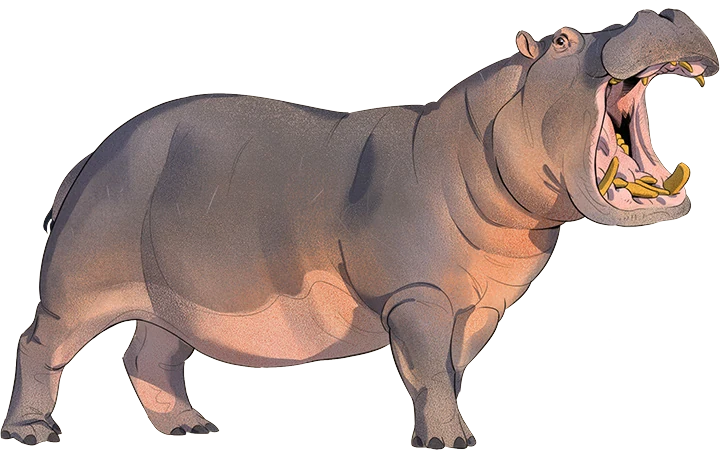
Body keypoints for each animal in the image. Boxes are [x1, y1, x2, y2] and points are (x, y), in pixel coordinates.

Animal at [1, 8, 717, 448]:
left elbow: (450, 370)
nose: (665, 13)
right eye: (563, 39)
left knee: (150, 353)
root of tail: (94, 153)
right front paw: (450, 440)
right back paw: (35, 432)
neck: (475, 142)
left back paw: (193, 427)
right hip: (80, 281)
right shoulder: (417, 297)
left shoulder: (480, 305)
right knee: (40, 345)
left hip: (175, 298)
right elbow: (428, 370)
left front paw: (451, 431)